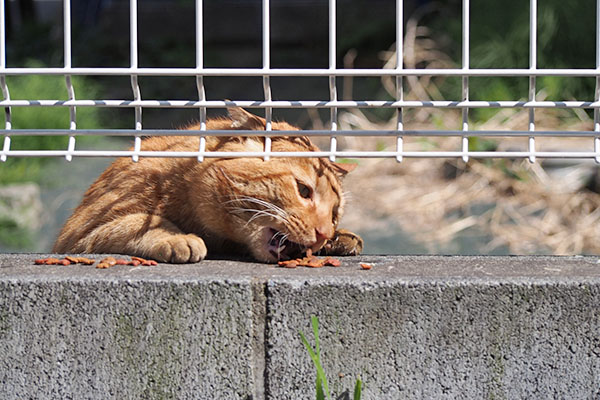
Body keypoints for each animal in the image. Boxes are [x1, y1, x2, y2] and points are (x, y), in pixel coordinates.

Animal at [52, 107, 360, 262]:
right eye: (304, 190)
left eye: (335, 214)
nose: (323, 233)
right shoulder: (77, 236)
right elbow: (134, 221)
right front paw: (176, 238)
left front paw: (339, 239)